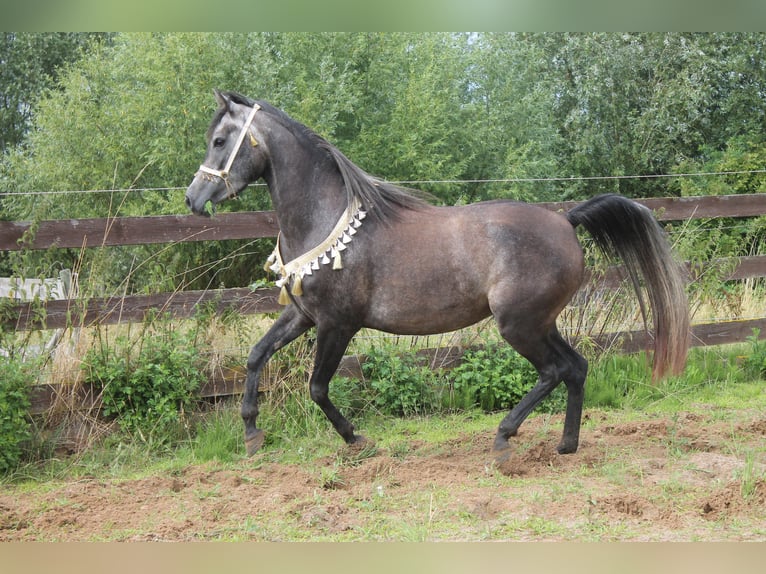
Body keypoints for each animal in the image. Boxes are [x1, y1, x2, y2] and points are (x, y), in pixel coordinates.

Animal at [185, 90, 689, 459]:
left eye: (219, 141)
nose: (193, 198)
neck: (325, 219)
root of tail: (566, 221)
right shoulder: (304, 315)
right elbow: (256, 355)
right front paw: (251, 433)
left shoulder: (337, 323)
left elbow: (318, 387)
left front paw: (356, 438)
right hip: (541, 322)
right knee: (576, 367)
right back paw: (567, 444)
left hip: (519, 325)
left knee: (554, 370)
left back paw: (504, 437)